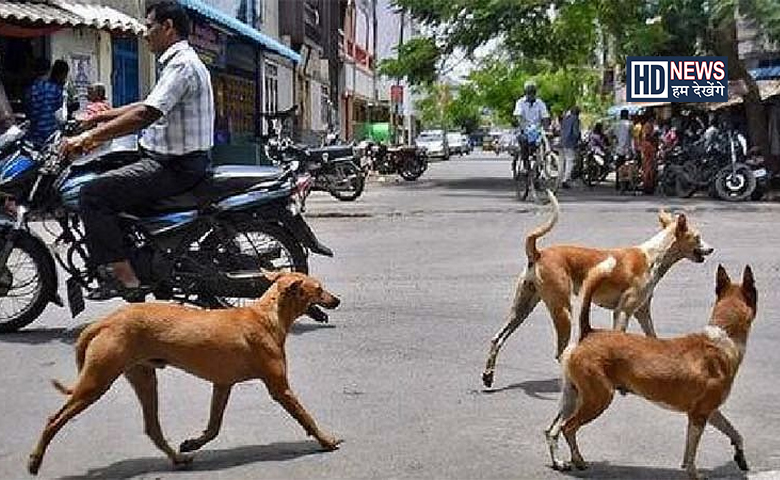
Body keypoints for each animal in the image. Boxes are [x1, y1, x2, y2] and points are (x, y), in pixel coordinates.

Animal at [29, 272, 340, 474]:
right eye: (319, 288)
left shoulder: (222, 384)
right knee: (54, 419)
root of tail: (106, 320)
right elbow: (306, 417)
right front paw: (326, 441)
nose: (337, 299)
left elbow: (214, 427)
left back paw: (178, 459)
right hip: (96, 382)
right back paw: (35, 460)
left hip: (143, 378)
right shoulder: (279, 388)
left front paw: (193, 443)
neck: (265, 316)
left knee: (152, 428)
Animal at [482, 190, 712, 386]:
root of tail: (538, 253)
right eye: (698, 237)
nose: (711, 249)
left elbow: (652, 337)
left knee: (497, 338)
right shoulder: (623, 311)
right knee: (560, 352)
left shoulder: (642, 312)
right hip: (563, 310)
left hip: (522, 308)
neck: (654, 255)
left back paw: (488, 375)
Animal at [544, 264, 760, 478]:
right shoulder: (699, 415)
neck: (723, 336)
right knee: (568, 428)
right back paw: (578, 460)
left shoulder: (710, 411)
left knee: (553, 429)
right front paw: (694, 473)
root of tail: (589, 333)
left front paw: (740, 456)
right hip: (598, 399)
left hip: (573, 397)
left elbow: (734, 432)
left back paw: (559, 462)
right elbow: (692, 451)